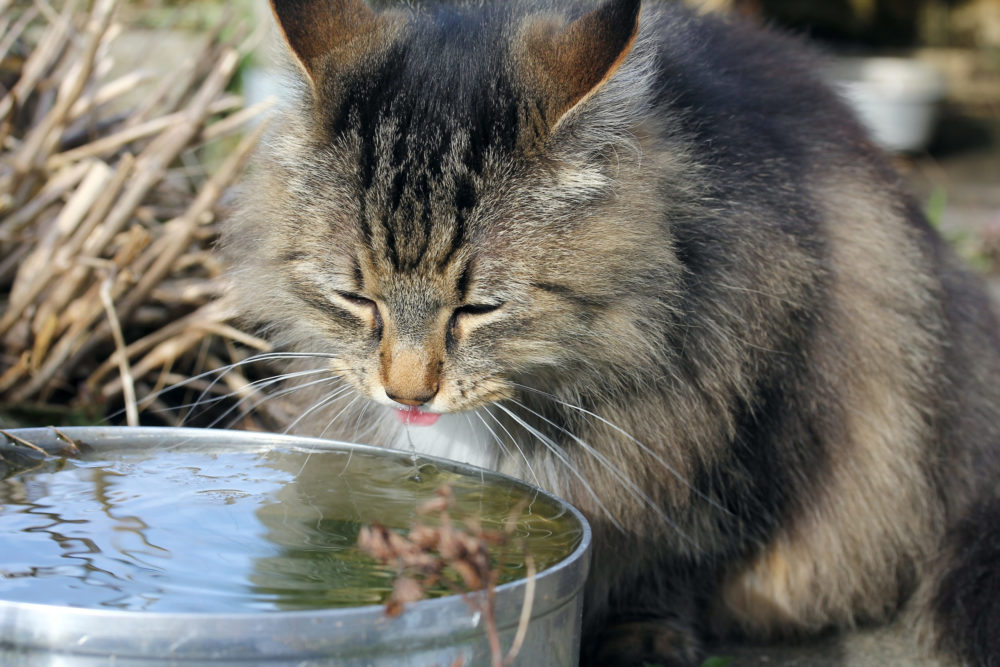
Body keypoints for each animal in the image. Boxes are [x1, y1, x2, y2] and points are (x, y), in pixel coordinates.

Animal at [223, 0, 1000, 664]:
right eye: (358, 299)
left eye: (478, 309)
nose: (406, 393)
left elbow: (677, 556)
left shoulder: (735, 435)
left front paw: (644, 635)